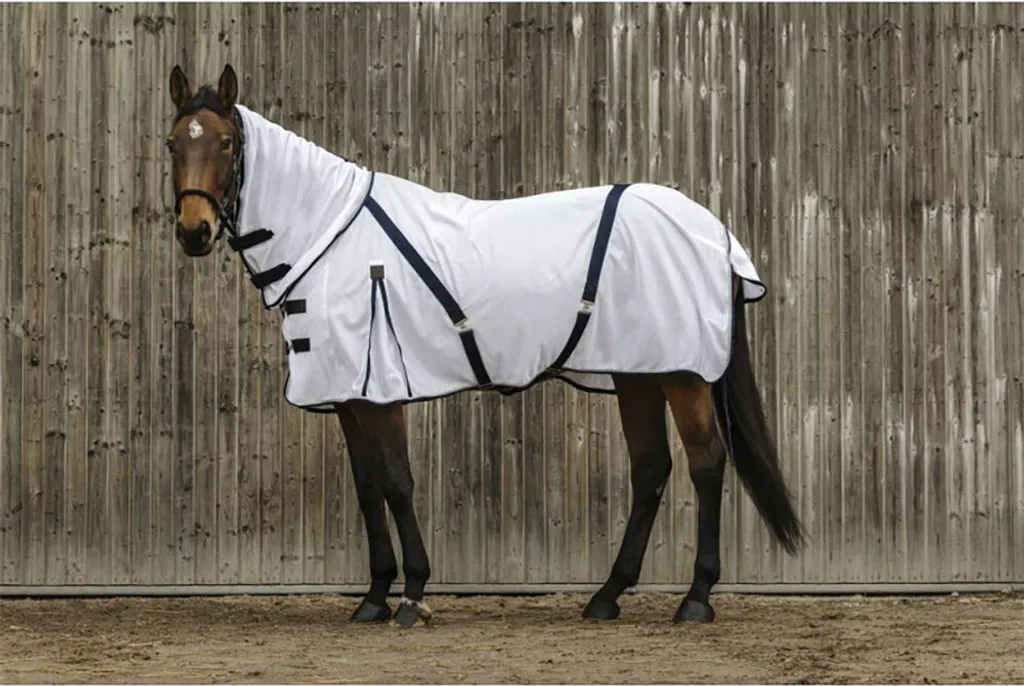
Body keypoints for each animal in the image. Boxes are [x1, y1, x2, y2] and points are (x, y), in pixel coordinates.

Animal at [165, 63, 804, 628]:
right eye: (173, 143)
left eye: (226, 142)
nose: (194, 231)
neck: (332, 237)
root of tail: (714, 231)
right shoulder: (348, 395)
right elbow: (368, 488)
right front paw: (372, 598)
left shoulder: (381, 391)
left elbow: (397, 482)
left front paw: (412, 597)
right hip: (637, 371)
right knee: (650, 467)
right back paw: (606, 597)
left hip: (683, 374)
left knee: (706, 463)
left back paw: (695, 599)